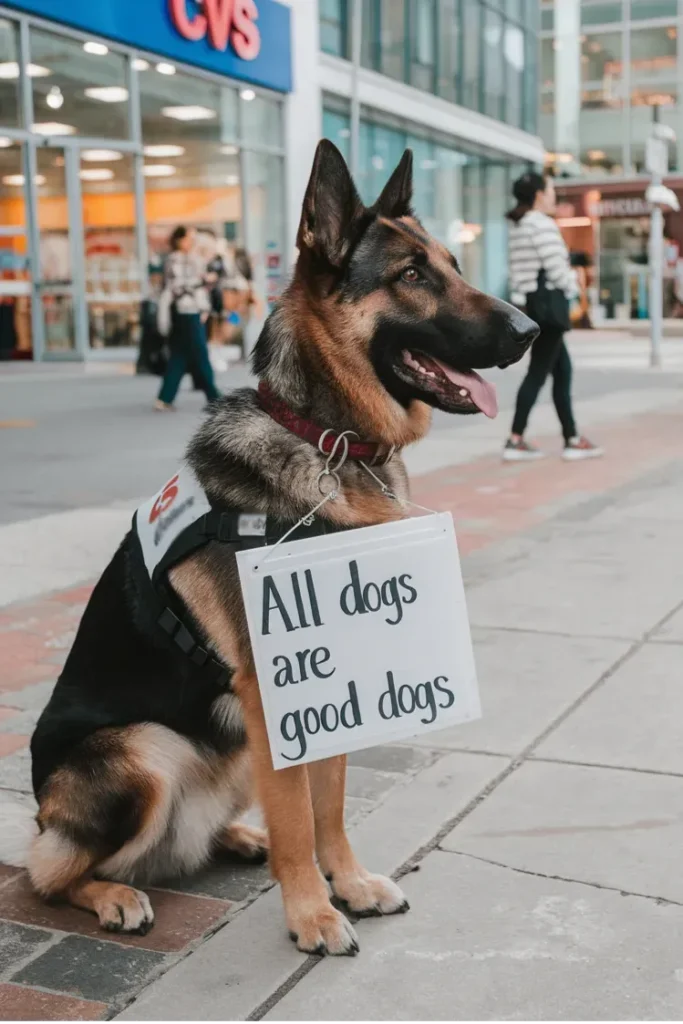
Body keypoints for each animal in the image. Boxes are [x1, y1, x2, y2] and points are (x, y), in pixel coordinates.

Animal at [26, 140, 540, 954]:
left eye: (453, 265)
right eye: (411, 275)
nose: (531, 330)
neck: (326, 437)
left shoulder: (325, 697)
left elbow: (326, 802)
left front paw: (348, 882)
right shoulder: (272, 697)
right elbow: (299, 816)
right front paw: (312, 913)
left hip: (232, 745)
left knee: (187, 839)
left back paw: (236, 837)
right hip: (145, 752)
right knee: (48, 872)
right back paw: (112, 894)